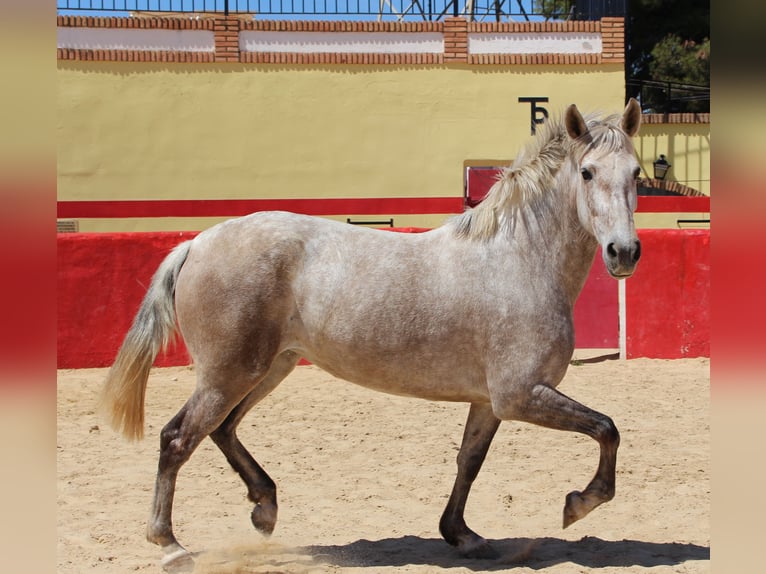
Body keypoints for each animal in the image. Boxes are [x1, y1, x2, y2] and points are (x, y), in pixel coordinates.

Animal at [100, 100, 640, 572]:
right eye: (587, 172)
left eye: (636, 174)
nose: (625, 252)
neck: (517, 260)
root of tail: (196, 243)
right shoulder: (520, 394)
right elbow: (607, 428)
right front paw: (578, 504)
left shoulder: (490, 402)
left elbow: (469, 461)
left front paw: (462, 535)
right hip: (227, 374)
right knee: (177, 439)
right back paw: (171, 546)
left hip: (267, 368)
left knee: (223, 429)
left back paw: (264, 507)